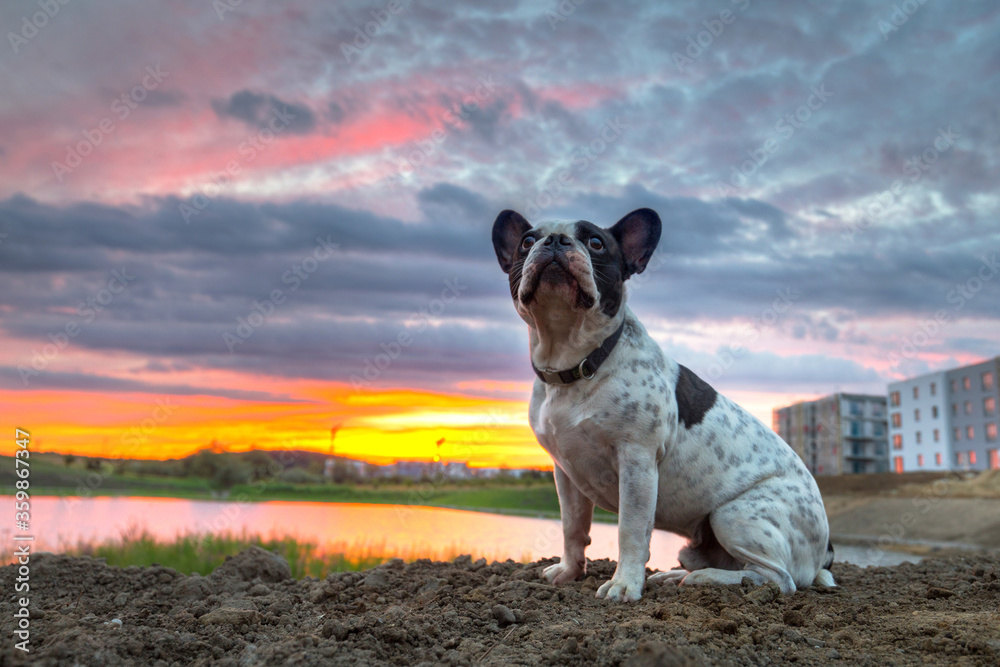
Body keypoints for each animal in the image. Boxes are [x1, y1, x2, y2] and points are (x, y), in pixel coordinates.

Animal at [492, 210, 836, 604]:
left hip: (734, 514)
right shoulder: (565, 472)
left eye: (595, 243)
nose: (556, 241)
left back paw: (707, 580)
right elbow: (572, 527)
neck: (576, 362)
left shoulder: (637, 461)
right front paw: (568, 572)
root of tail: (826, 550)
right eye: (527, 241)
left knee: (777, 578)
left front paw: (624, 584)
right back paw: (677, 575)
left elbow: (631, 530)